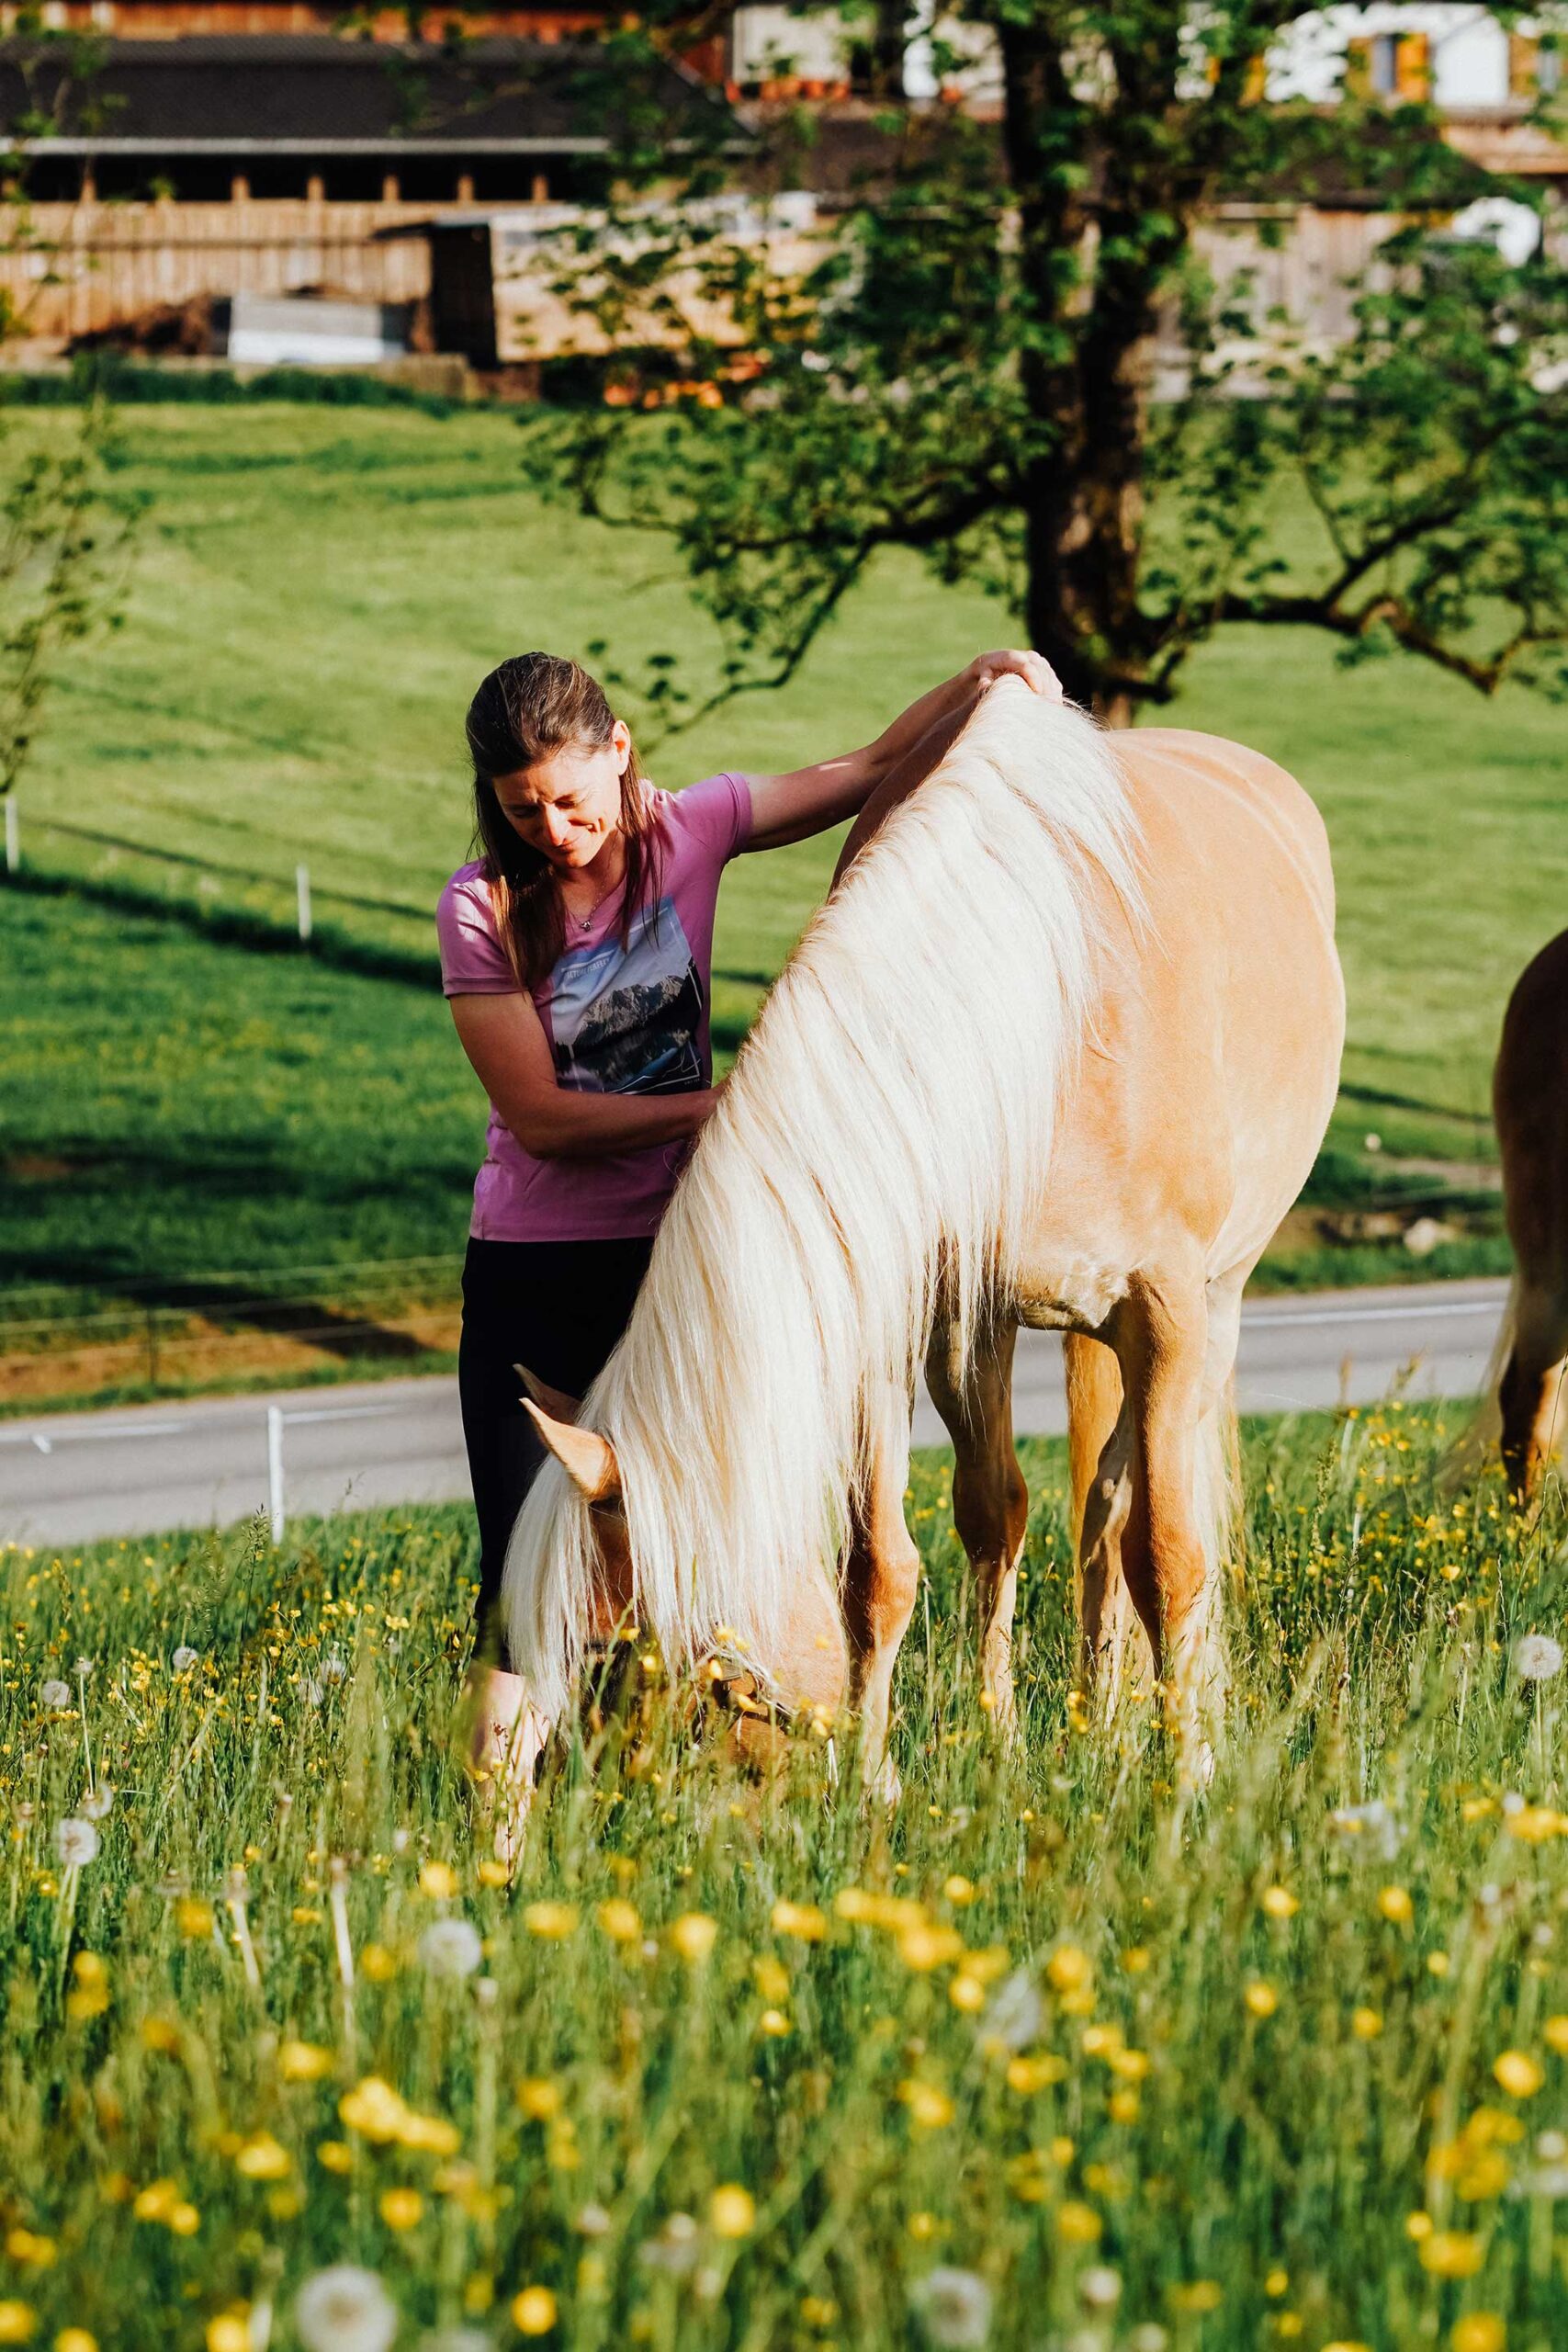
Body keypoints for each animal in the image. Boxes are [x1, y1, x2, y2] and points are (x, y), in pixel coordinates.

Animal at [504, 681, 1344, 1789]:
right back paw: (1091, 1723)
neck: (1037, 1011)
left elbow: (1166, 1555)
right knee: (1050, 1510)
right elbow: (891, 1565)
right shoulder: (915, 1317)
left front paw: (1187, 1778)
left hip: (1215, 1307)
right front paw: (890, 1776)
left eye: (609, 1646)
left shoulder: (1167, 1315)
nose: (598, 1796)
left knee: (1129, 1511)